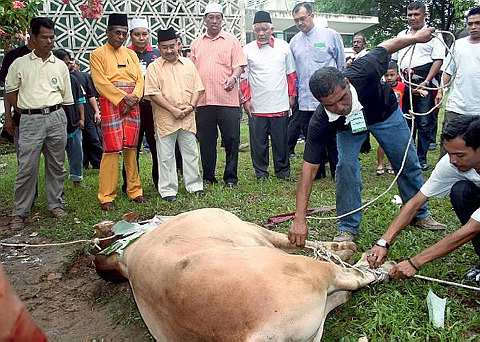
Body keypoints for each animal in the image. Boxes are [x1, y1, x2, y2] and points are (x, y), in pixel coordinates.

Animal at [94, 207, 394, 340]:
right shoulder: (248, 228)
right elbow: (290, 239)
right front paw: (344, 248)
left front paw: (341, 248)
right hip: (309, 272)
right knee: (352, 278)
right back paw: (380, 265)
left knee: (339, 296)